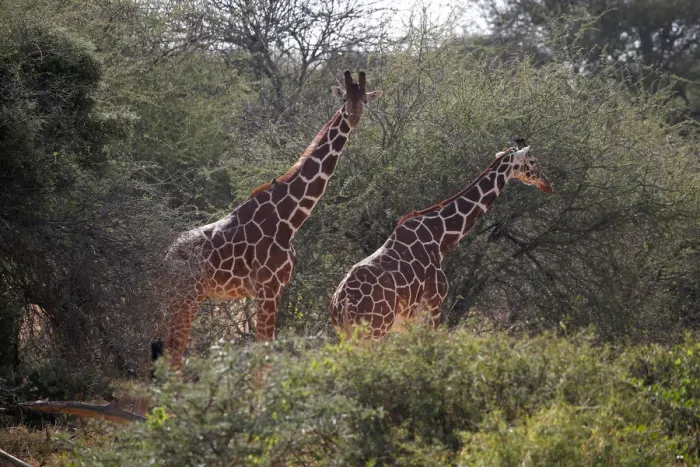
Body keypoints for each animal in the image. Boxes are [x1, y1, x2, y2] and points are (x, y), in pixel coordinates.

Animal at [160, 71, 382, 370]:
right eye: (344, 98)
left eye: (365, 100)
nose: (353, 115)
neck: (289, 218)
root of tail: (166, 258)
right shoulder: (269, 287)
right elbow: (262, 352)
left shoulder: (273, 289)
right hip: (188, 298)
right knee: (174, 351)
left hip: (179, 300)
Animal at [330, 141, 552, 339]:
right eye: (533, 161)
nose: (548, 184)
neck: (440, 237)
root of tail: (342, 303)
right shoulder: (433, 306)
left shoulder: (410, 320)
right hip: (375, 330)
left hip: (349, 333)